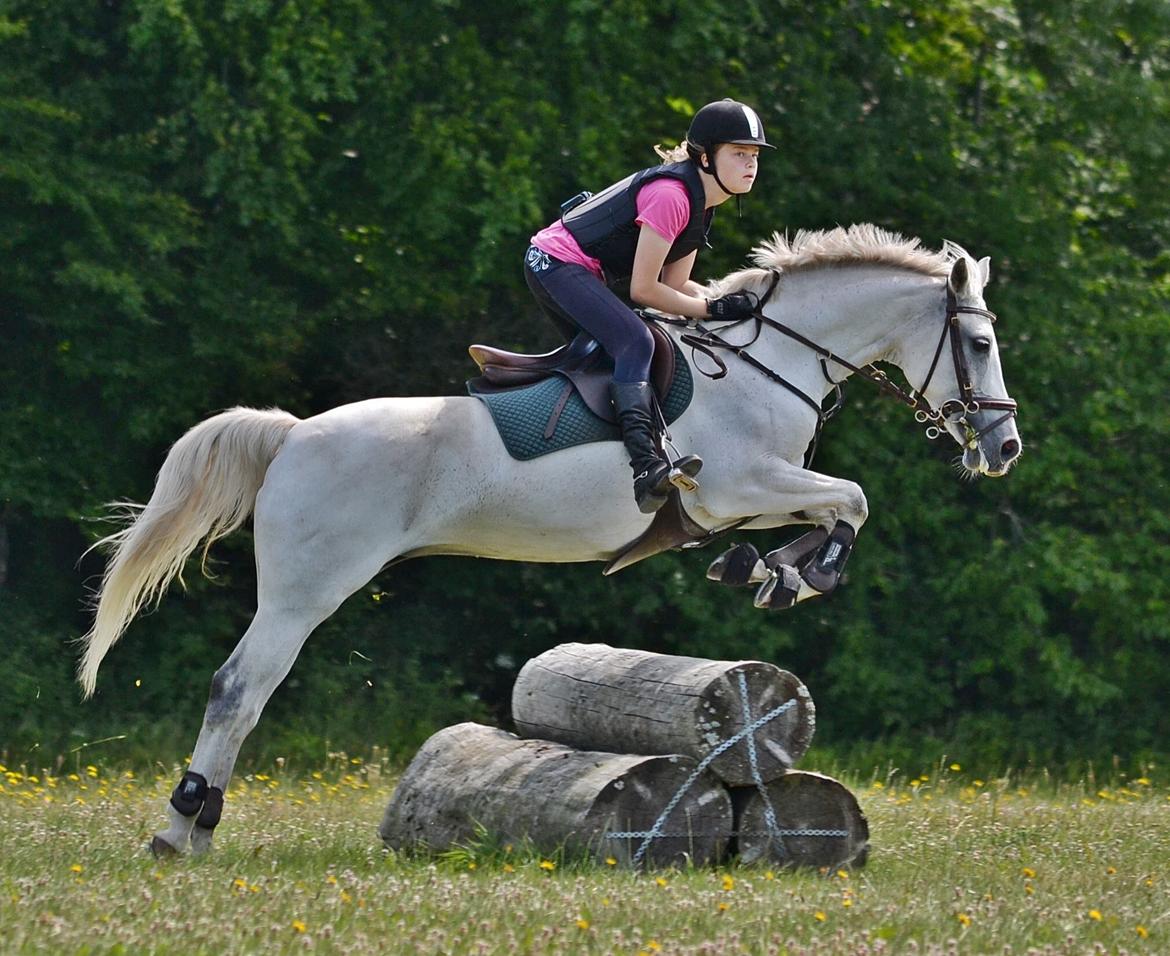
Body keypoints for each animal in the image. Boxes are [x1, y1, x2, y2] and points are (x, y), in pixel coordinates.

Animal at [78, 225, 1021, 856]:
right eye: (978, 342)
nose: (1005, 446)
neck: (768, 367)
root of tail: (293, 433)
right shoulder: (737, 487)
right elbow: (853, 501)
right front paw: (801, 574)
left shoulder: (745, 501)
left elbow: (830, 511)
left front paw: (772, 571)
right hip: (305, 592)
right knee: (240, 689)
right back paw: (185, 828)